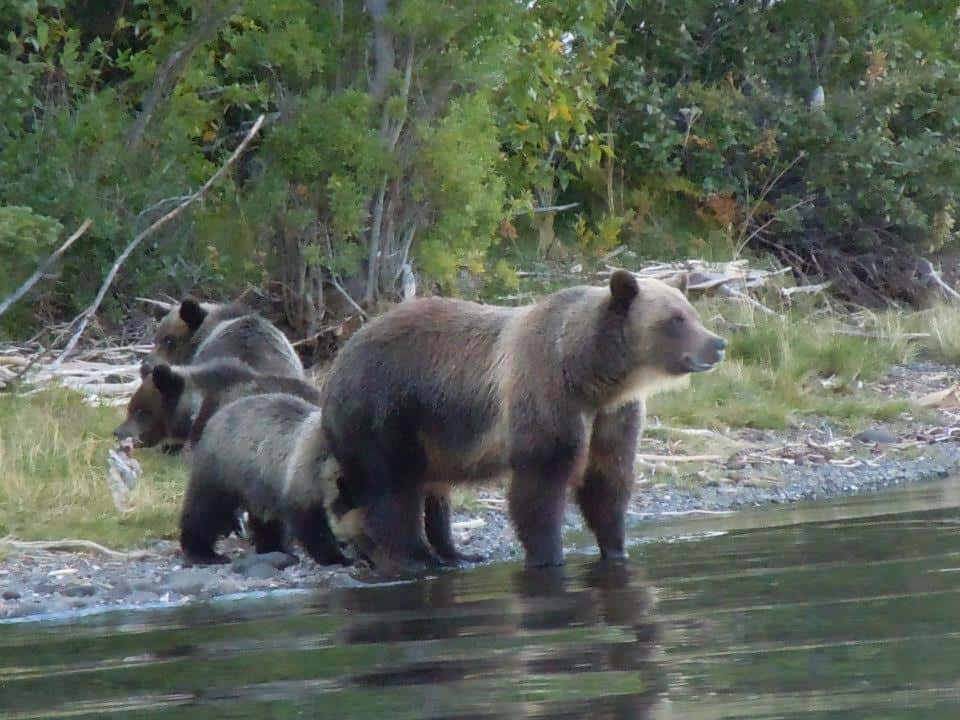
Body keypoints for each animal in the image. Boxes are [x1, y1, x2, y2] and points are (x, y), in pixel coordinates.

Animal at [318, 270, 724, 568]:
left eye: (693, 314)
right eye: (675, 319)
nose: (717, 343)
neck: (590, 375)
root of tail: (339, 359)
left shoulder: (612, 416)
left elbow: (606, 481)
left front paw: (615, 547)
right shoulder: (546, 395)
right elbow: (540, 485)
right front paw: (549, 555)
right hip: (384, 411)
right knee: (391, 487)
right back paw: (414, 556)